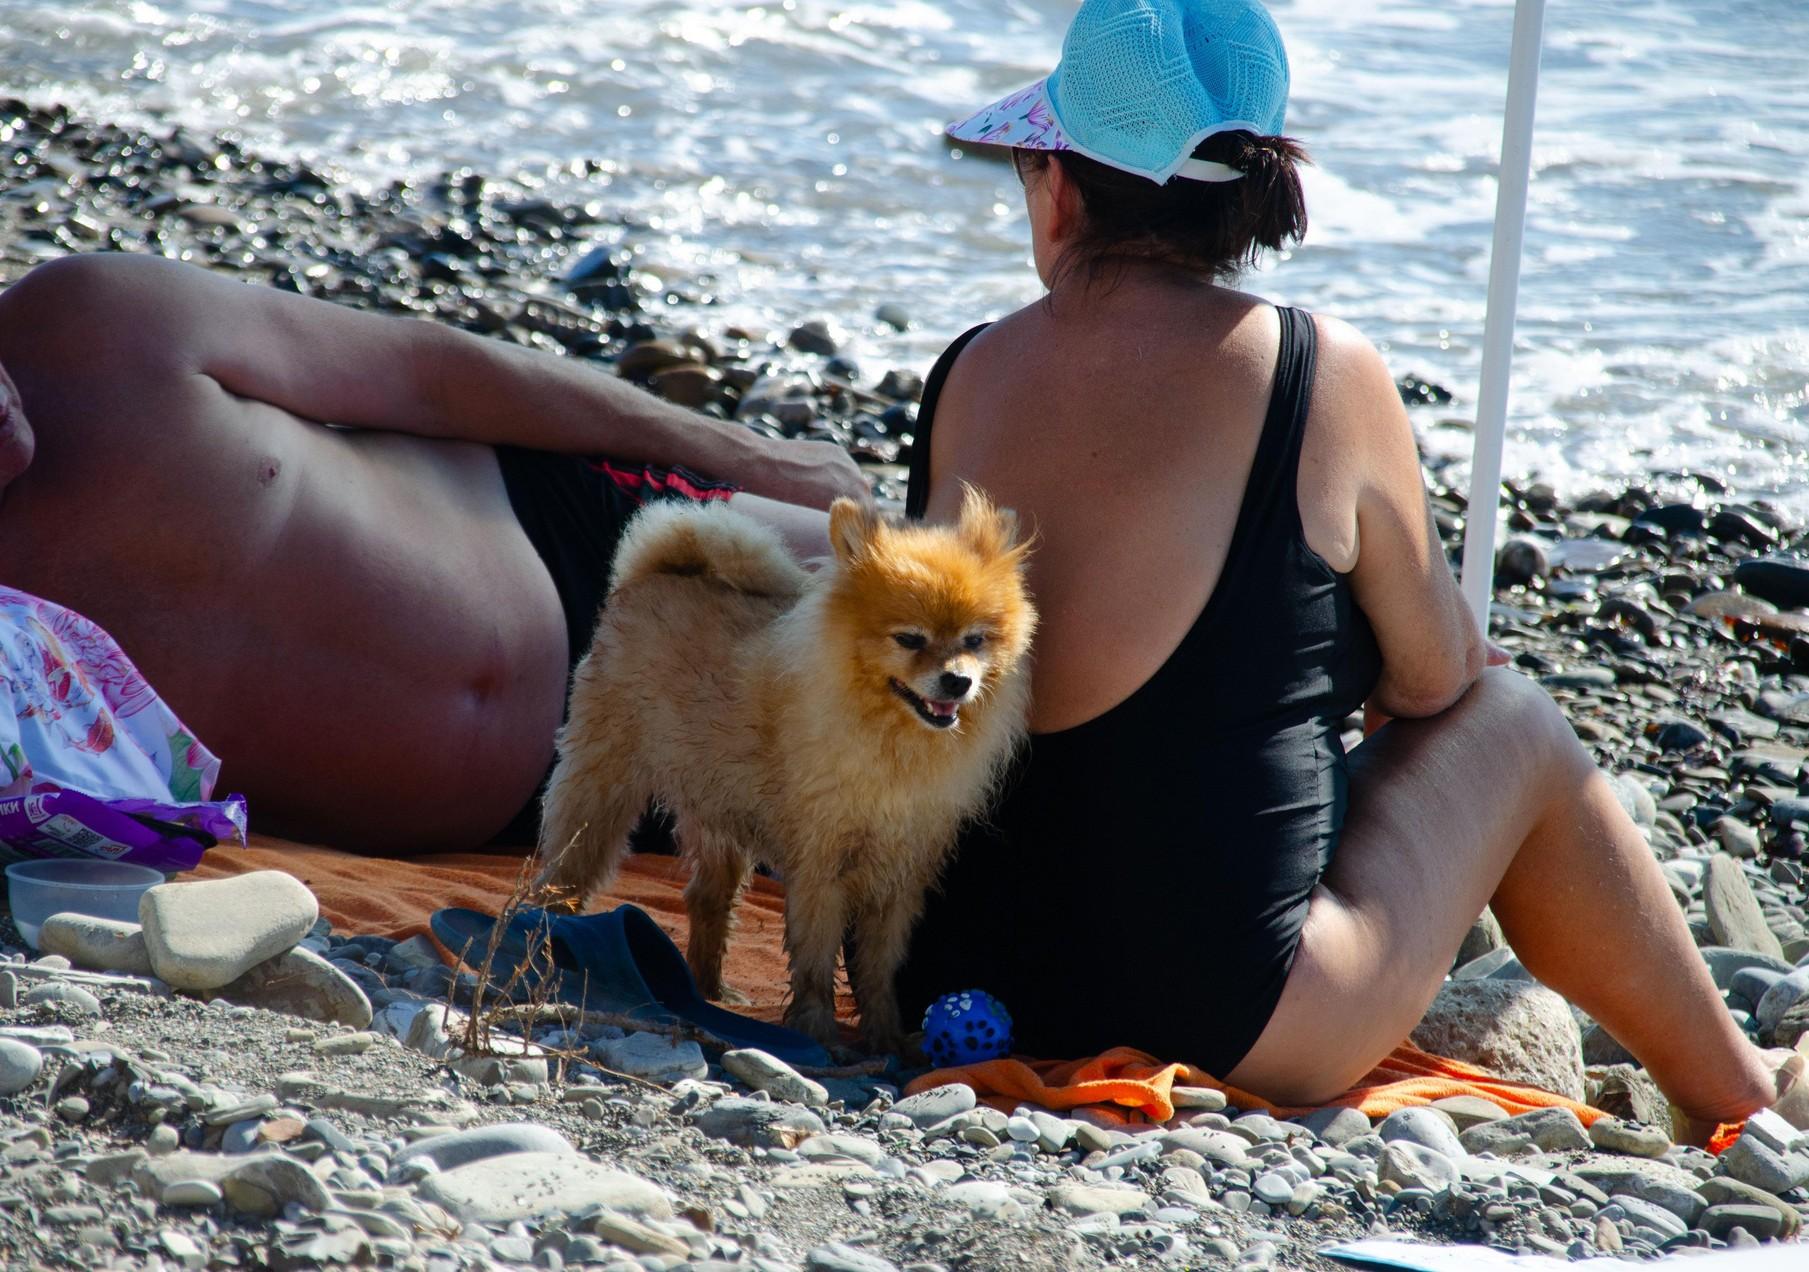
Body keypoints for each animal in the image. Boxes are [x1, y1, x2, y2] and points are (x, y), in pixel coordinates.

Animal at [531, 484, 1034, 1042]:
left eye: (975, 640)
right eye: (909, 639)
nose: (957, 680)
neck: (892, 739)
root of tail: (655, 571)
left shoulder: (899, 875)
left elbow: (879, 966)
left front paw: (884, 1036)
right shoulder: (821, 867)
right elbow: (815, 959)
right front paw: (819, 1033)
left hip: (718, 807)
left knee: (706, 898)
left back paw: (708, 992)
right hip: (601, 788)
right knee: (566, 872)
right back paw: (548, 940)